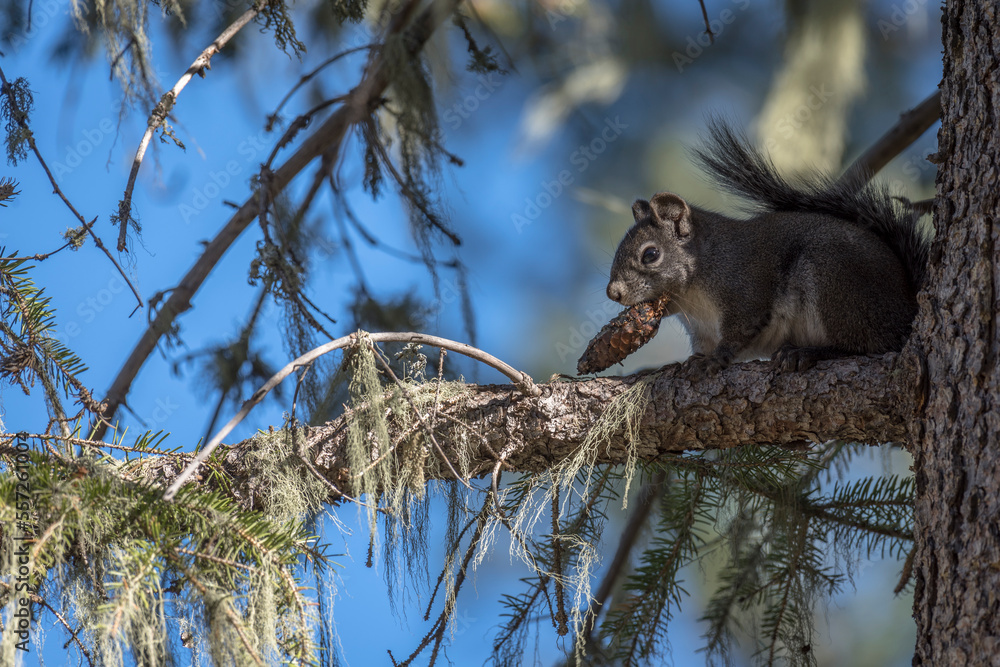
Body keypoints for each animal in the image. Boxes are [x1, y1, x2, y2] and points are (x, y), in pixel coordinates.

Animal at [606, 120, 929, 373]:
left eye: (651, 254)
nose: (613, 293)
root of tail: (906, 310)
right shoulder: (703, 331)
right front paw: (693, 360)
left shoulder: (744, 290)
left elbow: (739, 333)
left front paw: (715, 360)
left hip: (835, 282)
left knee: (867, 344)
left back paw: (806, 352)